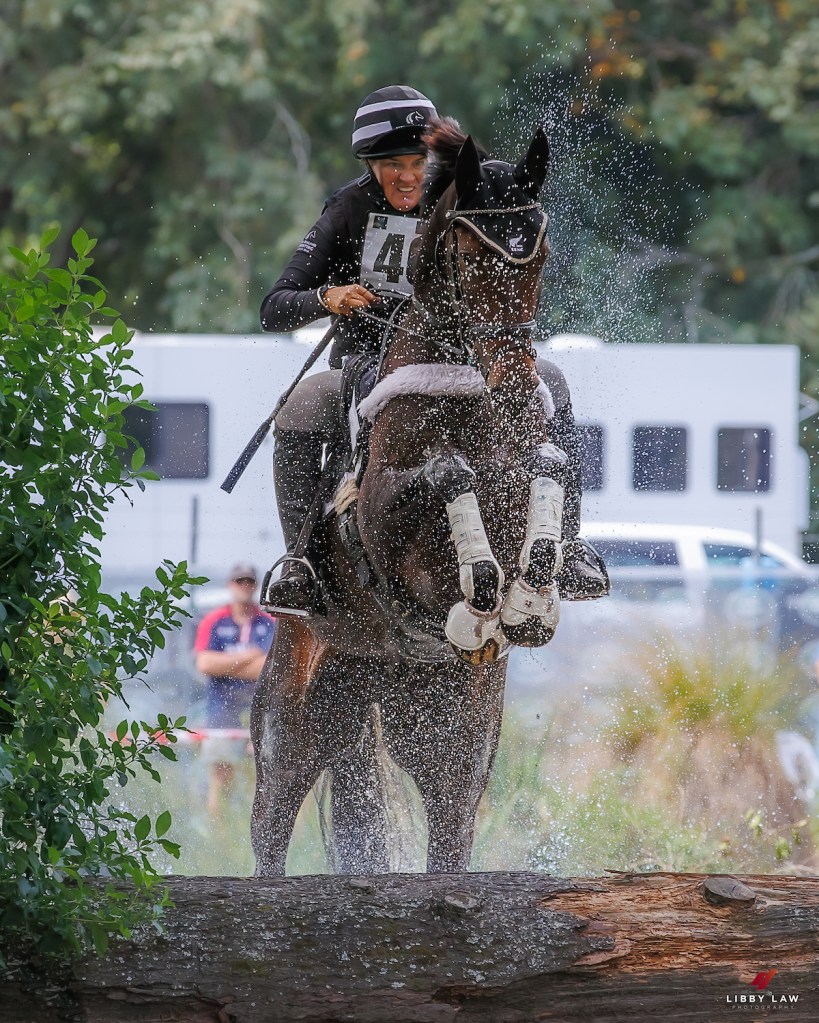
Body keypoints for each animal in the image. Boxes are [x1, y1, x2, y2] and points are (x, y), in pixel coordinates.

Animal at [251, 121, 564, 876]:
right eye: (469, 257)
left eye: (537, 256)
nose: (516, 385)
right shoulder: (388, 527)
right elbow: (447, 475)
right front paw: (483, 588)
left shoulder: (529, 463)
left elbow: (547, 463)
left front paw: (529, 596)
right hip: (293, 727)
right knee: (270, 830)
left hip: (450, 742)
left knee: (448, 835)